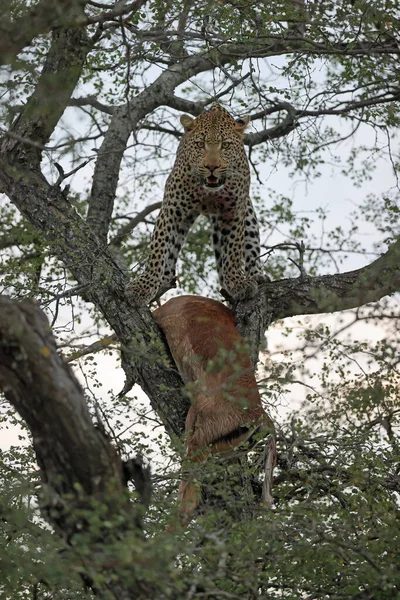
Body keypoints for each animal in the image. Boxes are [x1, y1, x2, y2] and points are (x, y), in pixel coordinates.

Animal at [126, 102, 266, 304]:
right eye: (200, 144)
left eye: (226, 145)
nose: (212, 167)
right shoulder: (171, 209)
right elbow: (158, 249)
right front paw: (143, 287)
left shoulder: (234, 212)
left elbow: (233, 249)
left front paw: (237, 282)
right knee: (172, 250)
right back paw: (164, 280)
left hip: (247, 213)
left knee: (250, 244)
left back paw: (256, 275)